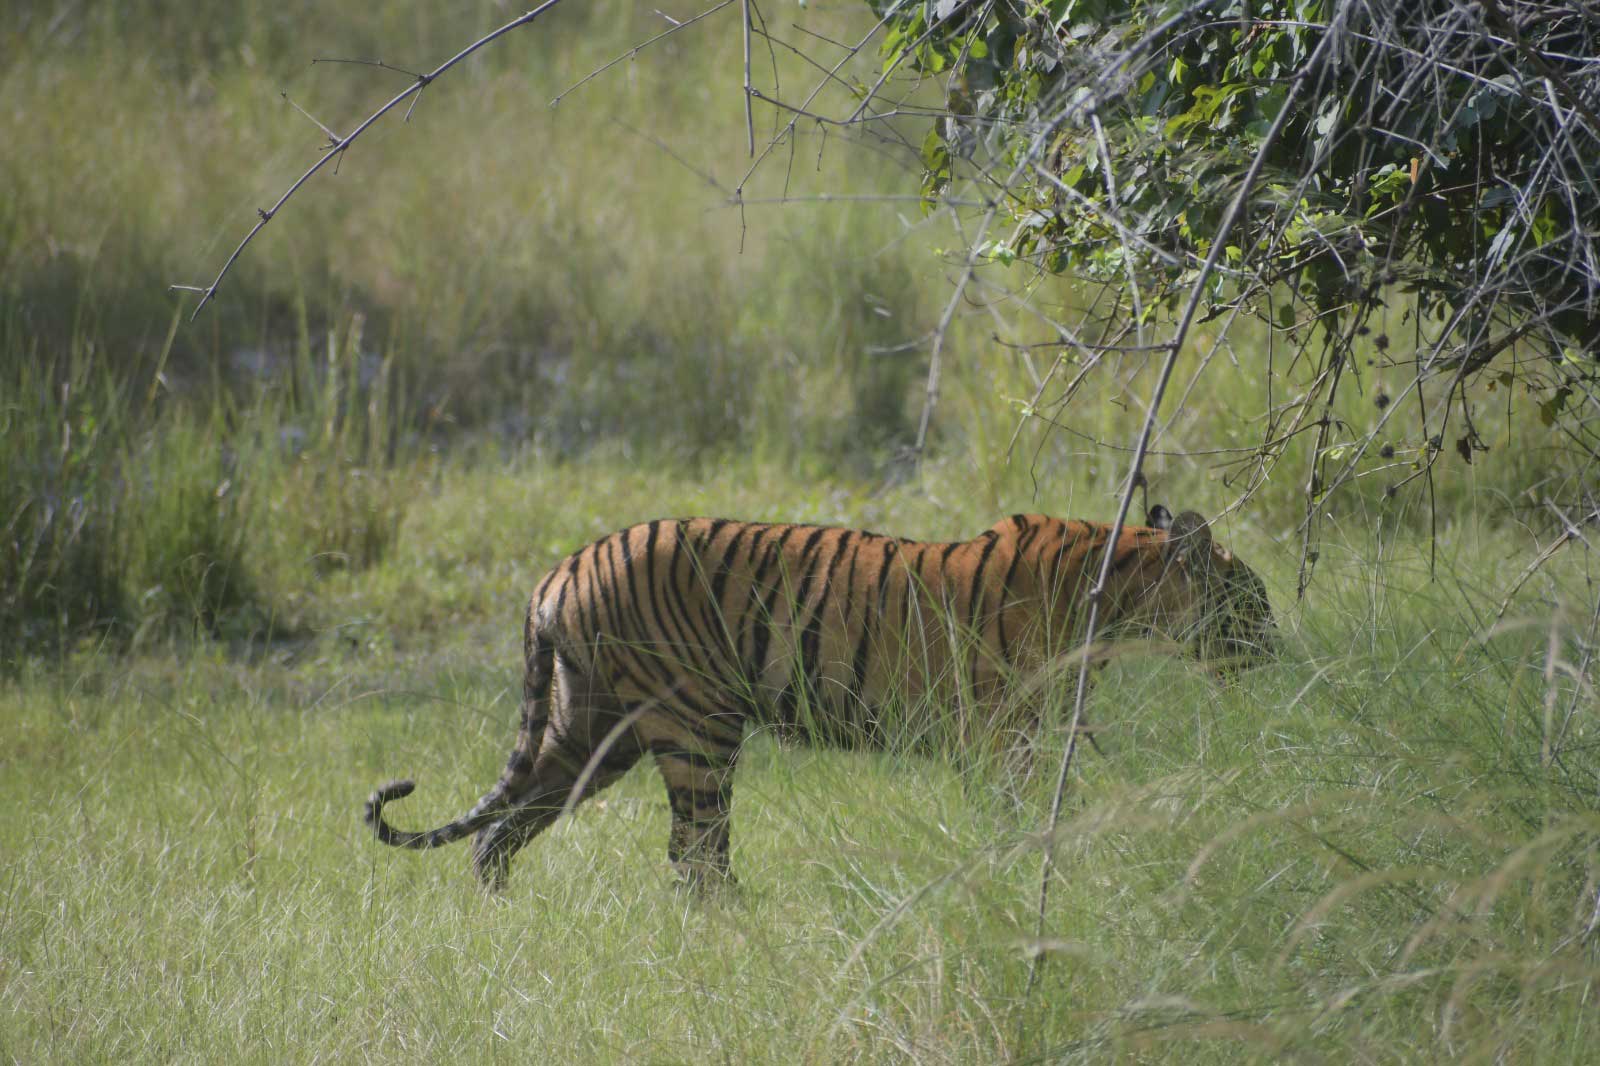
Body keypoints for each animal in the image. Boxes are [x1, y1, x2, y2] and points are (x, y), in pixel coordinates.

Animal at [365, 505, 1275, 890]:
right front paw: (1035, 867)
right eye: (1255, 599)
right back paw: (740, 928)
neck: (1120, 594)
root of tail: (559, 569)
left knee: (503, 831)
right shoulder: (1002, 735)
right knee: (694, 854)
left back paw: (499, 912)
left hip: (592, 730)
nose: (1275, 651)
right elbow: (1028, 813)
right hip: (696, 727)